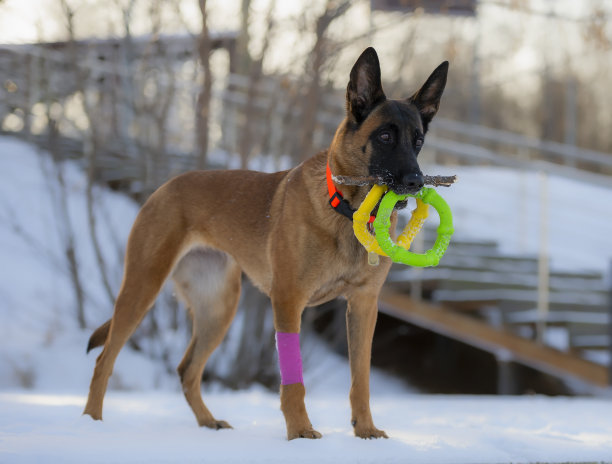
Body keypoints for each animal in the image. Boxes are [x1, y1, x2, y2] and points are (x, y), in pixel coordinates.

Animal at [82, 47, 450, 438]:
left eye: (418, 141)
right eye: (384, 137)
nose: (415, 182)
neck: (344, 210)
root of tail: (164, 187)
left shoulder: (364, 305)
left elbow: (360, 378)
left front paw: (365, 431)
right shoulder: (289, 300)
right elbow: (293, 380)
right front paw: (300, 432)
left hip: (219, 307)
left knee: (187, 369)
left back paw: (208, 422)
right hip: (143, 286)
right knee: (105, 358)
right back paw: (92, 423)